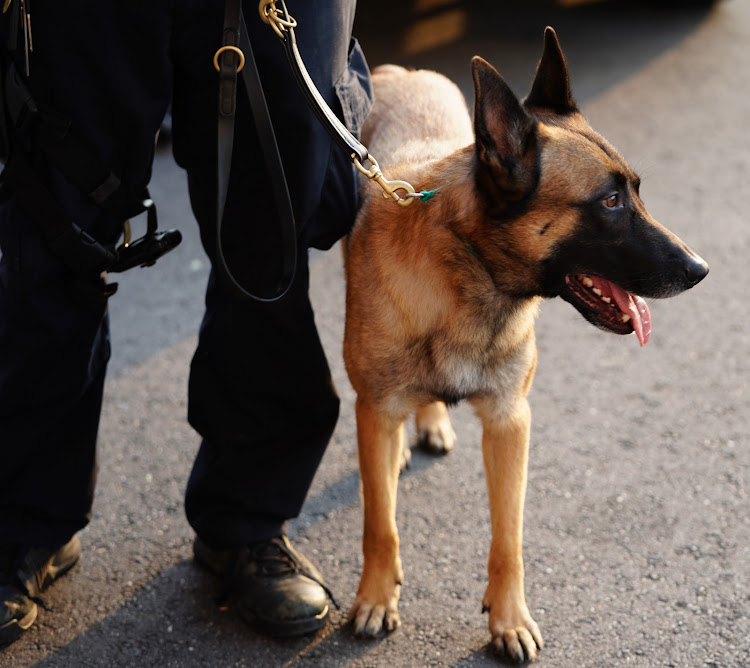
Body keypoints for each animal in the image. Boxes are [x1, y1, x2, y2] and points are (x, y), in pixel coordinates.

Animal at [344, 27, 708, 664]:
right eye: (609, 202)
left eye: (636, 191)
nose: (700, 268)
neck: (467, 276)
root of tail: (398, 71)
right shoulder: (378, 410)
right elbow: (379, 524)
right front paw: (375, 597)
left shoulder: (510, 423)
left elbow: (508, 539)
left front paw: (508, 619)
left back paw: (430, 420)